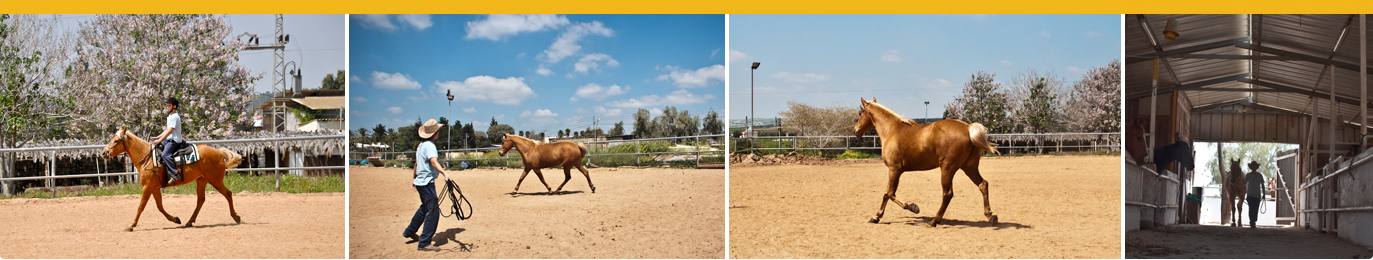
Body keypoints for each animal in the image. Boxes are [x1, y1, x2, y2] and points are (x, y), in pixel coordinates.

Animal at [102, 127, 245, 231]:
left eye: (116, 141)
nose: (104, 153)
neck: (147, 158)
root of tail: (219, 153)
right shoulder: (154, 188)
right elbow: (160, 207)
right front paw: (176, 219)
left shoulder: (147, 187)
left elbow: (141, 207)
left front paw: (131, 225)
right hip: (202, 180)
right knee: (201, 200)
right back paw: (189, 222)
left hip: (215, 180)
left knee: (228, 194)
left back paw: (236, 217)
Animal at [856, 98, 999, 226]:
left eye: (860, 113)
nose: (856, 130)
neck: (892, 130)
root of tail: (967, 128)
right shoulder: (895, 171)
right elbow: (888, 194)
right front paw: (876, 217)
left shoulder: (894, 169)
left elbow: (889, 193)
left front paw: (912, 208)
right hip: (969, 167)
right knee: (983, 184)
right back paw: (990, 216)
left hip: (948, 168)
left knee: (948, 194)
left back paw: (934, 221)